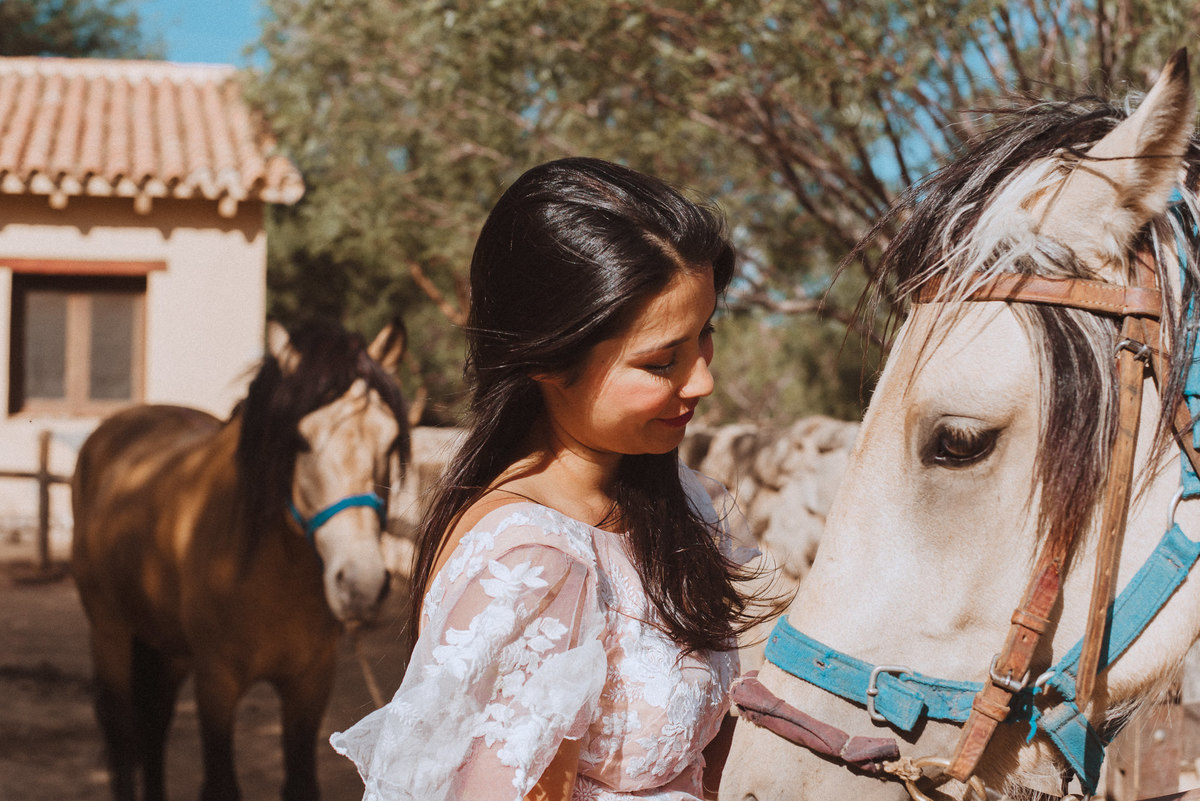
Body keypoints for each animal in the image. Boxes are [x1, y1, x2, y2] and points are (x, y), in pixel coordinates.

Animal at [70, 318, 410, 801]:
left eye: (391, 439)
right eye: (300, 439)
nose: (361, 584)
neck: (270, 574)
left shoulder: (310, 685)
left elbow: (301, 783)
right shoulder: (216, 683)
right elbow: (220, 784)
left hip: (168, 647)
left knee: (155, 725)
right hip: (110, 634)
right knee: (122, 738)